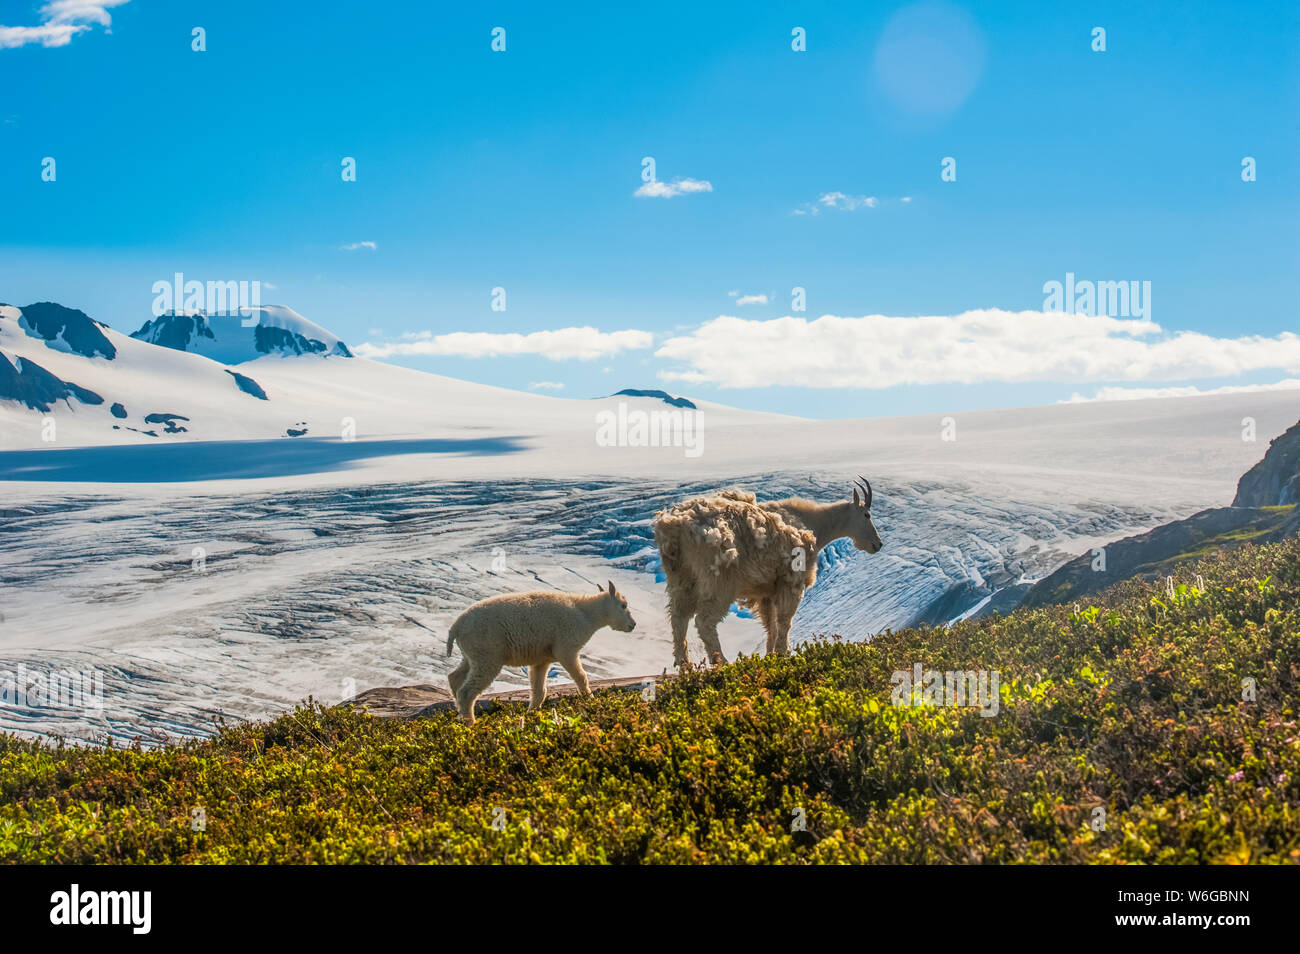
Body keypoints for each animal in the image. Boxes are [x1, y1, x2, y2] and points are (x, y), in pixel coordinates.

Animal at [444, 582, 636, 724]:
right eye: (623, 605)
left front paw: (531, 715)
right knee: (466, 692)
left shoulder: (542, 659)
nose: (632, 625)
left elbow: (539, 691)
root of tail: (455, 628)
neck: (586, 615)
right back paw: (471, 724)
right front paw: (592, 702)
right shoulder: (566, 648)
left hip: (472, 654)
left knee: (455, 677)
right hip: (487, 655)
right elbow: (581, 677)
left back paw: (459, 716)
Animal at [652, 478, 882, 666]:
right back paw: (721, 662)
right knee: (704, 621)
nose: (877, 544)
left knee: (678, 617)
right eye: (867, 514)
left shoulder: (767, 592)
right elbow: (785, 621)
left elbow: (771, 624)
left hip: (680, 576)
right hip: (719, 580)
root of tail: (673, 528)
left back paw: (685, 665)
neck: (813, 525)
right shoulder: (791, 582)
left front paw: (771, 655)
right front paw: (783, 653)